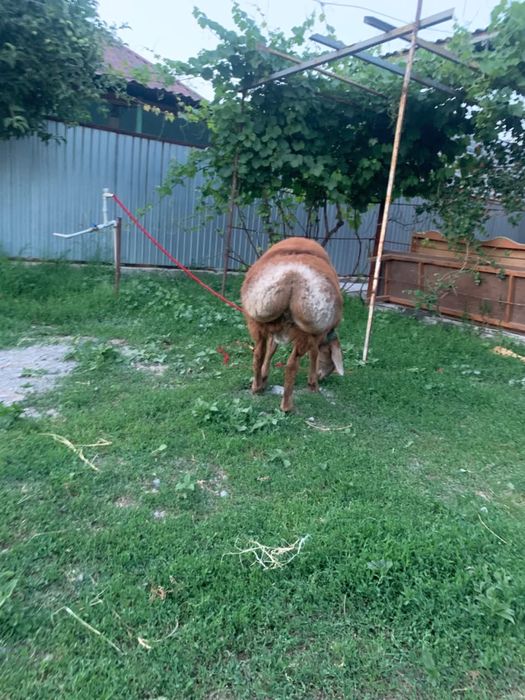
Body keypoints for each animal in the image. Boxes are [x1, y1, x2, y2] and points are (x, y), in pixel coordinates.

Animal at [241, 237, 344, 412]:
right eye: (331, 362)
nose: (323, 377)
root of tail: (291, 276)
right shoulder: (318, 335)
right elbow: (314, 354)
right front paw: (313, 384)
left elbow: (271, 349)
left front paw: (264, 376)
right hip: (309, 327)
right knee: (291, 364)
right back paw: (287, 406)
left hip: (257, 316)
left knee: (259, 353)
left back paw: (257, 388)